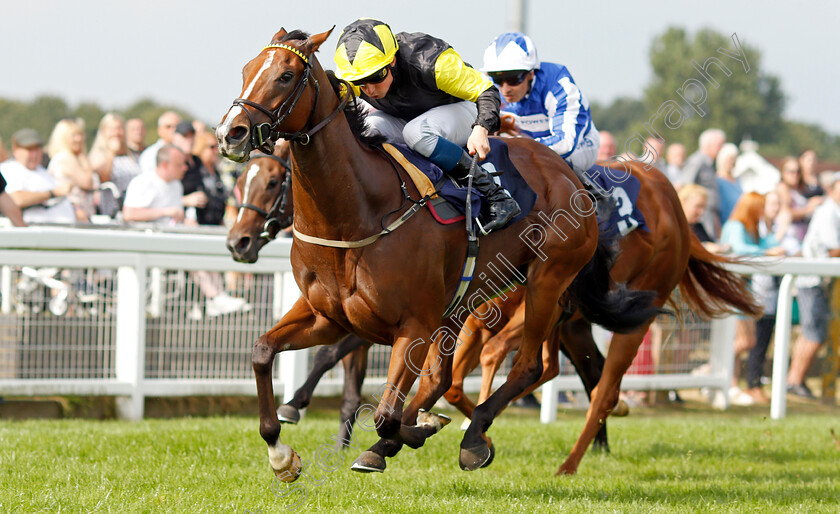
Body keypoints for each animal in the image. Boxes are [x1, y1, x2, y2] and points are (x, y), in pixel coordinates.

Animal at [218, 27, 664, 476]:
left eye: (286, 75)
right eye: (246, 71)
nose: (229, 133)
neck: (357, 214)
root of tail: (571, 174)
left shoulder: (413, 324)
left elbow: (386, 415)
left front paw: (413, 432)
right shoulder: (328, 317)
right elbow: (263, 351)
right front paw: (280, 453)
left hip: (547, 282)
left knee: (529, 366)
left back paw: (475, 437)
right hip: (467, 303)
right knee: (450, 377)